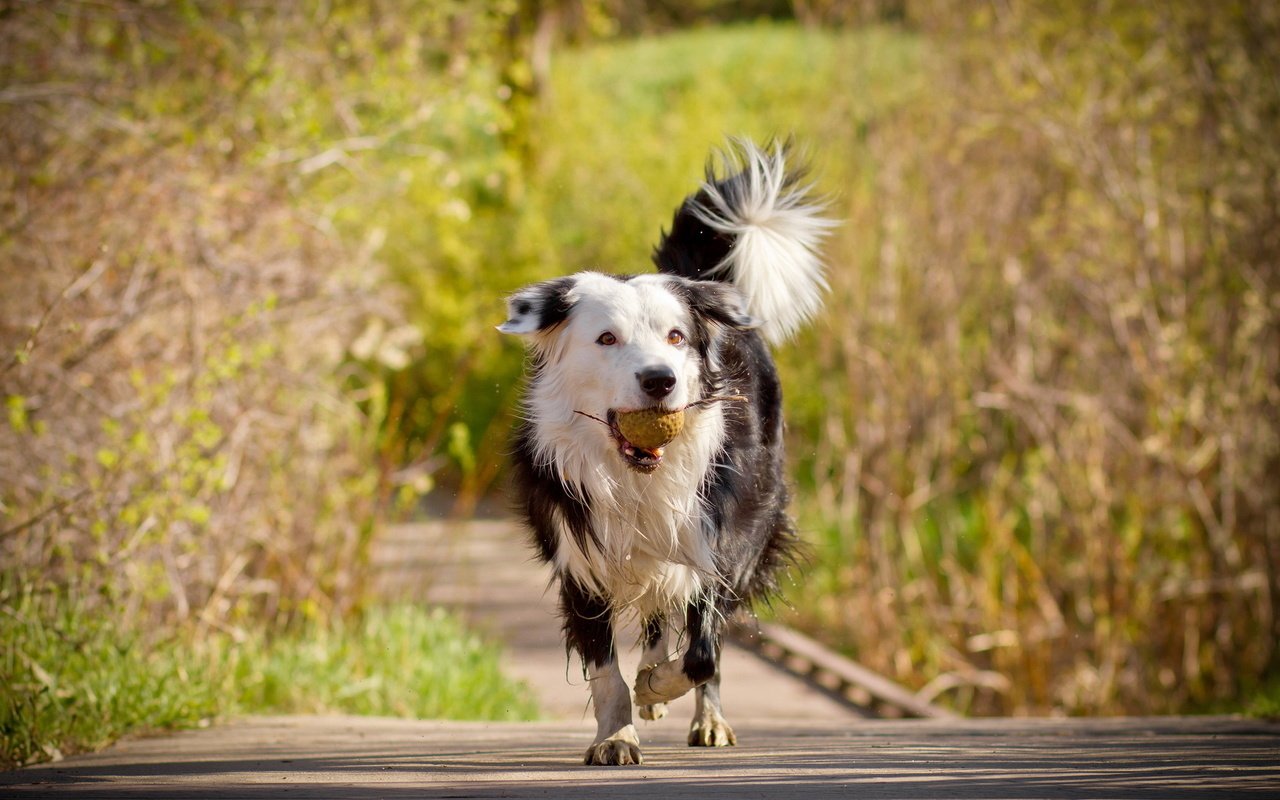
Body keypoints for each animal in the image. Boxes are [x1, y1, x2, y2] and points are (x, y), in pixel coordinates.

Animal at [494, 140, 834, 762]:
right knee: (655, 615)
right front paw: (616, 735)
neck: (636, 475)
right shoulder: (581, 554)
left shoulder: (722, 539)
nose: (660, 380)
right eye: (606, 338)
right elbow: (606, 668)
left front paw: (658, 687)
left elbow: (703, 652)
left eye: (677, 337)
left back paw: (704, 716)